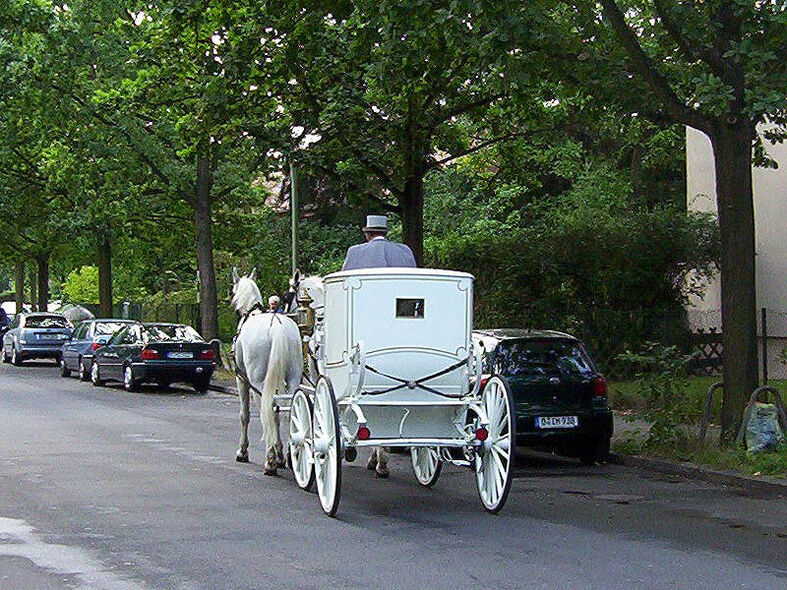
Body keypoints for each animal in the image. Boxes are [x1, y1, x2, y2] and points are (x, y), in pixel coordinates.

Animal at [232, 270, 304, 476]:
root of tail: (276, 324)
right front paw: (281, 453)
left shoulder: (242, 380)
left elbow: (245, 415)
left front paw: (243, 451)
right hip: (293, 376)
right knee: (289, 409)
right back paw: (288, 454)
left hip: (257, 381)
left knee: (268, 409)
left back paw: (270, 460)